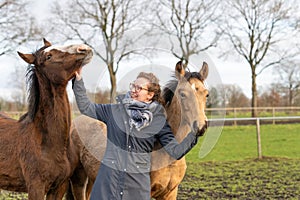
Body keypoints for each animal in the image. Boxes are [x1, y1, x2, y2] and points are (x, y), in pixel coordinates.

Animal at [66, 61, 209, 200]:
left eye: (206, 94)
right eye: (182, 94)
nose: (201, 126)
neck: (167, 156)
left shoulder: (170, 193)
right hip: (79, 179)